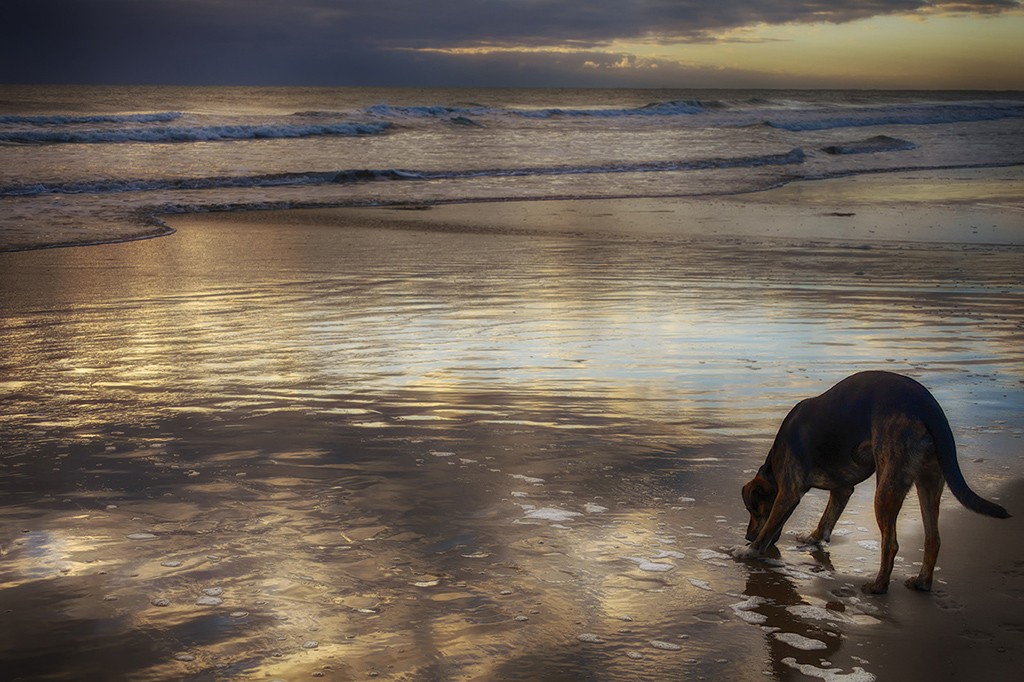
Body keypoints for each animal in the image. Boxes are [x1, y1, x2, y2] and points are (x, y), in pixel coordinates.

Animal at [737, 368, 1007, 593]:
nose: (747, 536)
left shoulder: (789, 491)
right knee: (933, 538)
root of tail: (929, 409)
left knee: (891, 543)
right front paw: (813, 539)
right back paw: (922, 582)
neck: (773, 467)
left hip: (886, 485)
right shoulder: (842, 489)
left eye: (754, 510)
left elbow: (770, 527)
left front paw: (749, 550)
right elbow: (827, 519)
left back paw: (879, 586)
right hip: (929, 479)